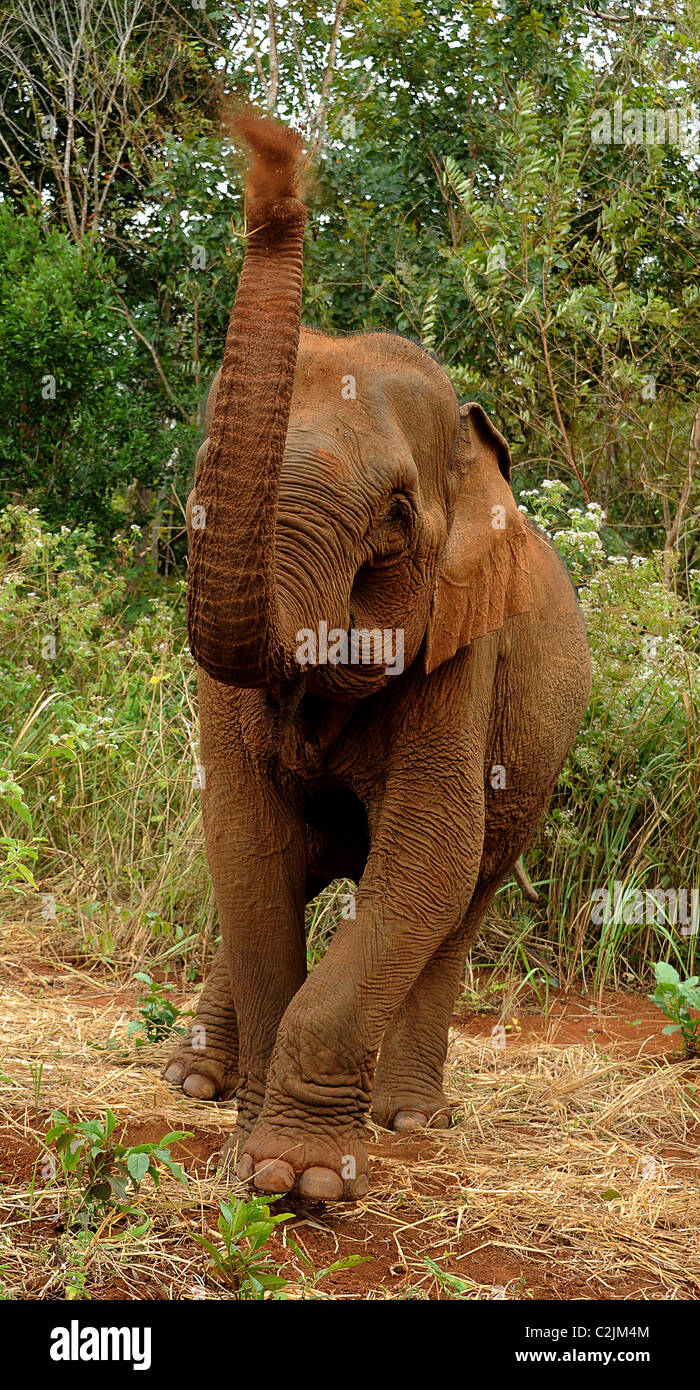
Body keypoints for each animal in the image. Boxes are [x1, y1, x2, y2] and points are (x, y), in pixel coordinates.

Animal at [162, 113, 591, 1200]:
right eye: (200, 473)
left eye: (395, 518)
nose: (270, 150)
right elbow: (244, 840)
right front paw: (255, 1160)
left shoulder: (465, 649)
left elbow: (430, 849)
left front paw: (300, 1178)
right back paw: (191, 1081)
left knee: (462, 899)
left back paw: (409, 1118)